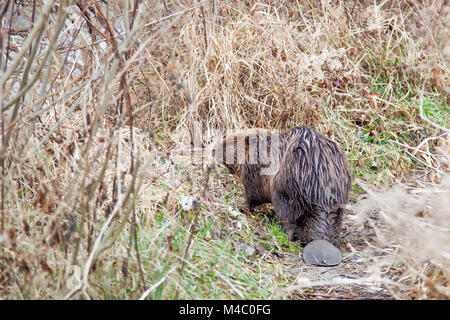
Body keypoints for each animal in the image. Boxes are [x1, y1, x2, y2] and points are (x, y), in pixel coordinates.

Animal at [214, 125, 352, 248]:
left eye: (230, 143)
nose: (213, 150)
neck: (262, 147)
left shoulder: (254, 171)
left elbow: (252, 195)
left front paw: (241, 206)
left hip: (284, 192)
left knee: (288, 219)